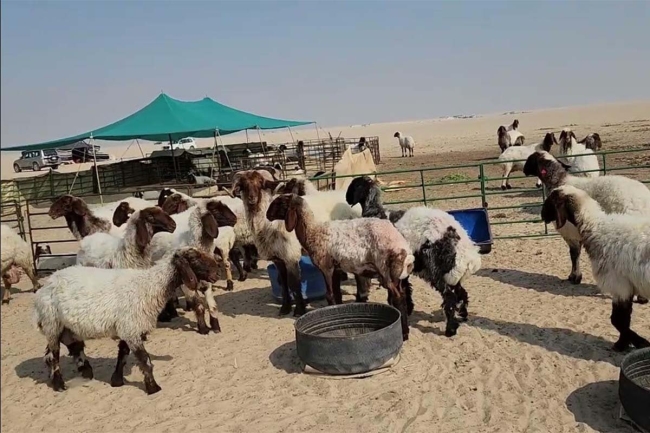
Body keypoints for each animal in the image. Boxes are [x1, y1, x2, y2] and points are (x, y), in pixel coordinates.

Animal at [33, 247, 219, 394]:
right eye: (194, 258)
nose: (217, 273)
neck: (149, 287)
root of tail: (47, 283)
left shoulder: (127, 328)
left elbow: (122, 355)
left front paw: (116, 381)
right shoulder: (131, 327)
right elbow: (145, 360)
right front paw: (153, 388)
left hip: (66, 327)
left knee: (67, 349)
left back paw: (83, 373)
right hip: (52, 323)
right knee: (53, 355)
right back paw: (60, 385)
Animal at [266, 194, 415, 340]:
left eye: (280, 203)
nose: (267, 215)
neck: (313, 231)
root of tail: (403, 246)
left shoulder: (326, 267)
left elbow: (330, 295)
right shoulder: (336, 270)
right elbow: (337, 295)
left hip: (385, 270)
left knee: (398, 297)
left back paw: (404, 333)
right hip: (396, 274)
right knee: (402, 294)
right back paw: (405, 328)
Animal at [346, 176, 482, 337]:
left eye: (354, 185)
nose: (347, 198)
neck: (377, 213)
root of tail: (458, 238)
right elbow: (406, 289)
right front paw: (408, 309)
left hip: (436, 270)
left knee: (449, 297)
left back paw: (451, 329)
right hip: (449, 271)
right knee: (461, 292)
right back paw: (463, 315)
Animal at [523, 151, 650, 305]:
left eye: (530, 159)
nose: (523, 170)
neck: (559, 181)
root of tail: (644, 201)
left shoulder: (569, 234)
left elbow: (574, 255)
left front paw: (574, 277)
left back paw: (642, 297)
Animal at [541, 186, 650, 351]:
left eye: (551, 201)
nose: (541, 214)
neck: (597, 229)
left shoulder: (618, 285)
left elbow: (617, 320)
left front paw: (636, 343)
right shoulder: (626, 286)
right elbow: (623, 319)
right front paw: (624, 343)